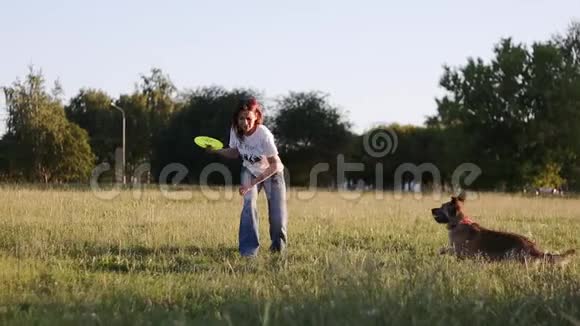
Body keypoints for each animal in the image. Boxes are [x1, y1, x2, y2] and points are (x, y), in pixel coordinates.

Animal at [430, 194, 576, 264]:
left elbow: (445, 250)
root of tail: (532, 247)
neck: (458, 222)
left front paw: (438, 253)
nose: (431, 209)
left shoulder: (459, 250)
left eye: (442, 206)